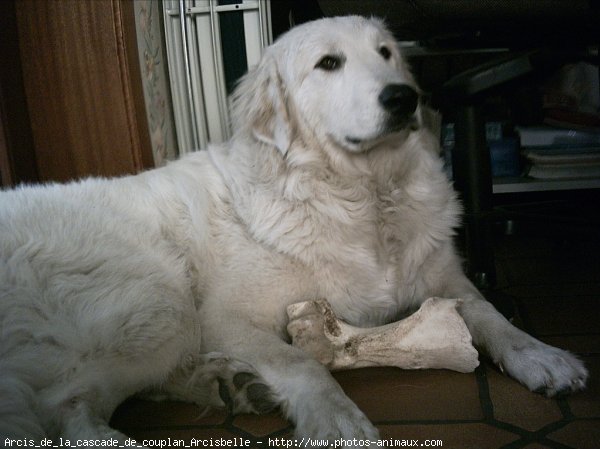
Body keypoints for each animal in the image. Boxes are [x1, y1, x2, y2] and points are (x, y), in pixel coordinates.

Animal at [1, 14, 584, 444]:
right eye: (329, 63)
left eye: (386, 53)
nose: (403, 97)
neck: (363, 199)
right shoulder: (222, 318)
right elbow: (301, 361)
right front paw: (337, 419)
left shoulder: (445, 278)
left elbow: (489, 312)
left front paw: (541, 356)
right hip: (164, 306)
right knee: (61, 408)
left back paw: (231, 384)